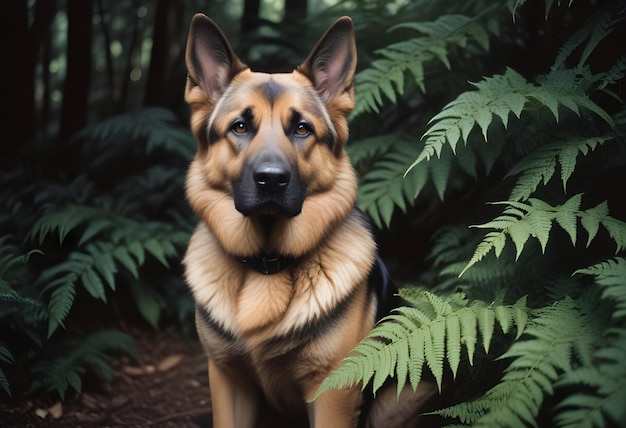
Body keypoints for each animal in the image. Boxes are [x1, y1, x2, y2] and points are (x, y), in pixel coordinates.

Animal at [183, 14, 432, 428]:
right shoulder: (227, 380)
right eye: (240, 127)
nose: (271, 179)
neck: (267, 264)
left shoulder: (333, 393)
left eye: (302, 128)